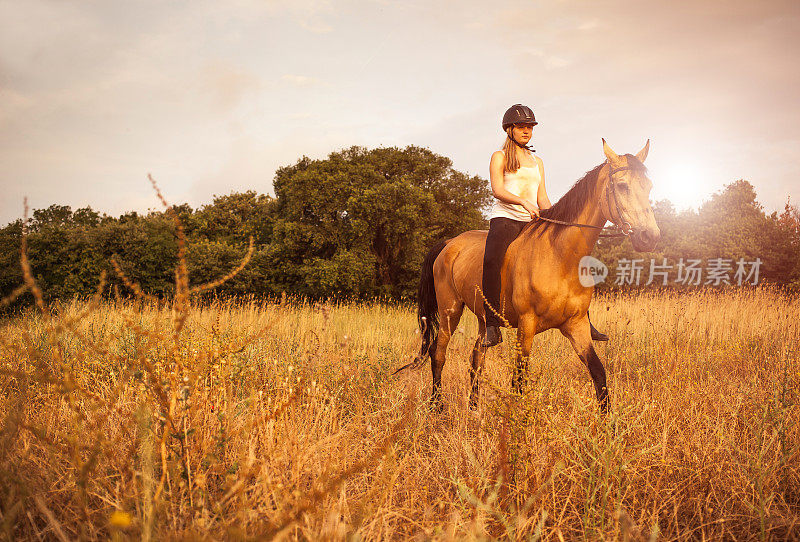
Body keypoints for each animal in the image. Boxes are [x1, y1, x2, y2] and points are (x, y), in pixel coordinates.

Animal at [416, 139, 660, 412]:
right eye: (622, 186)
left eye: (648, 186)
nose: (650, 237)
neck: (560, 257)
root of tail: (449, 243)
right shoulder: (527, 325)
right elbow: (519, 381)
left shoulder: (576, 325)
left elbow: (598, 374)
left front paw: (608, 422)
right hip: (450, 311)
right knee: (438, 354)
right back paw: (437, 407)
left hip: (482, 318)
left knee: (477, 358)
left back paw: (473, 408)